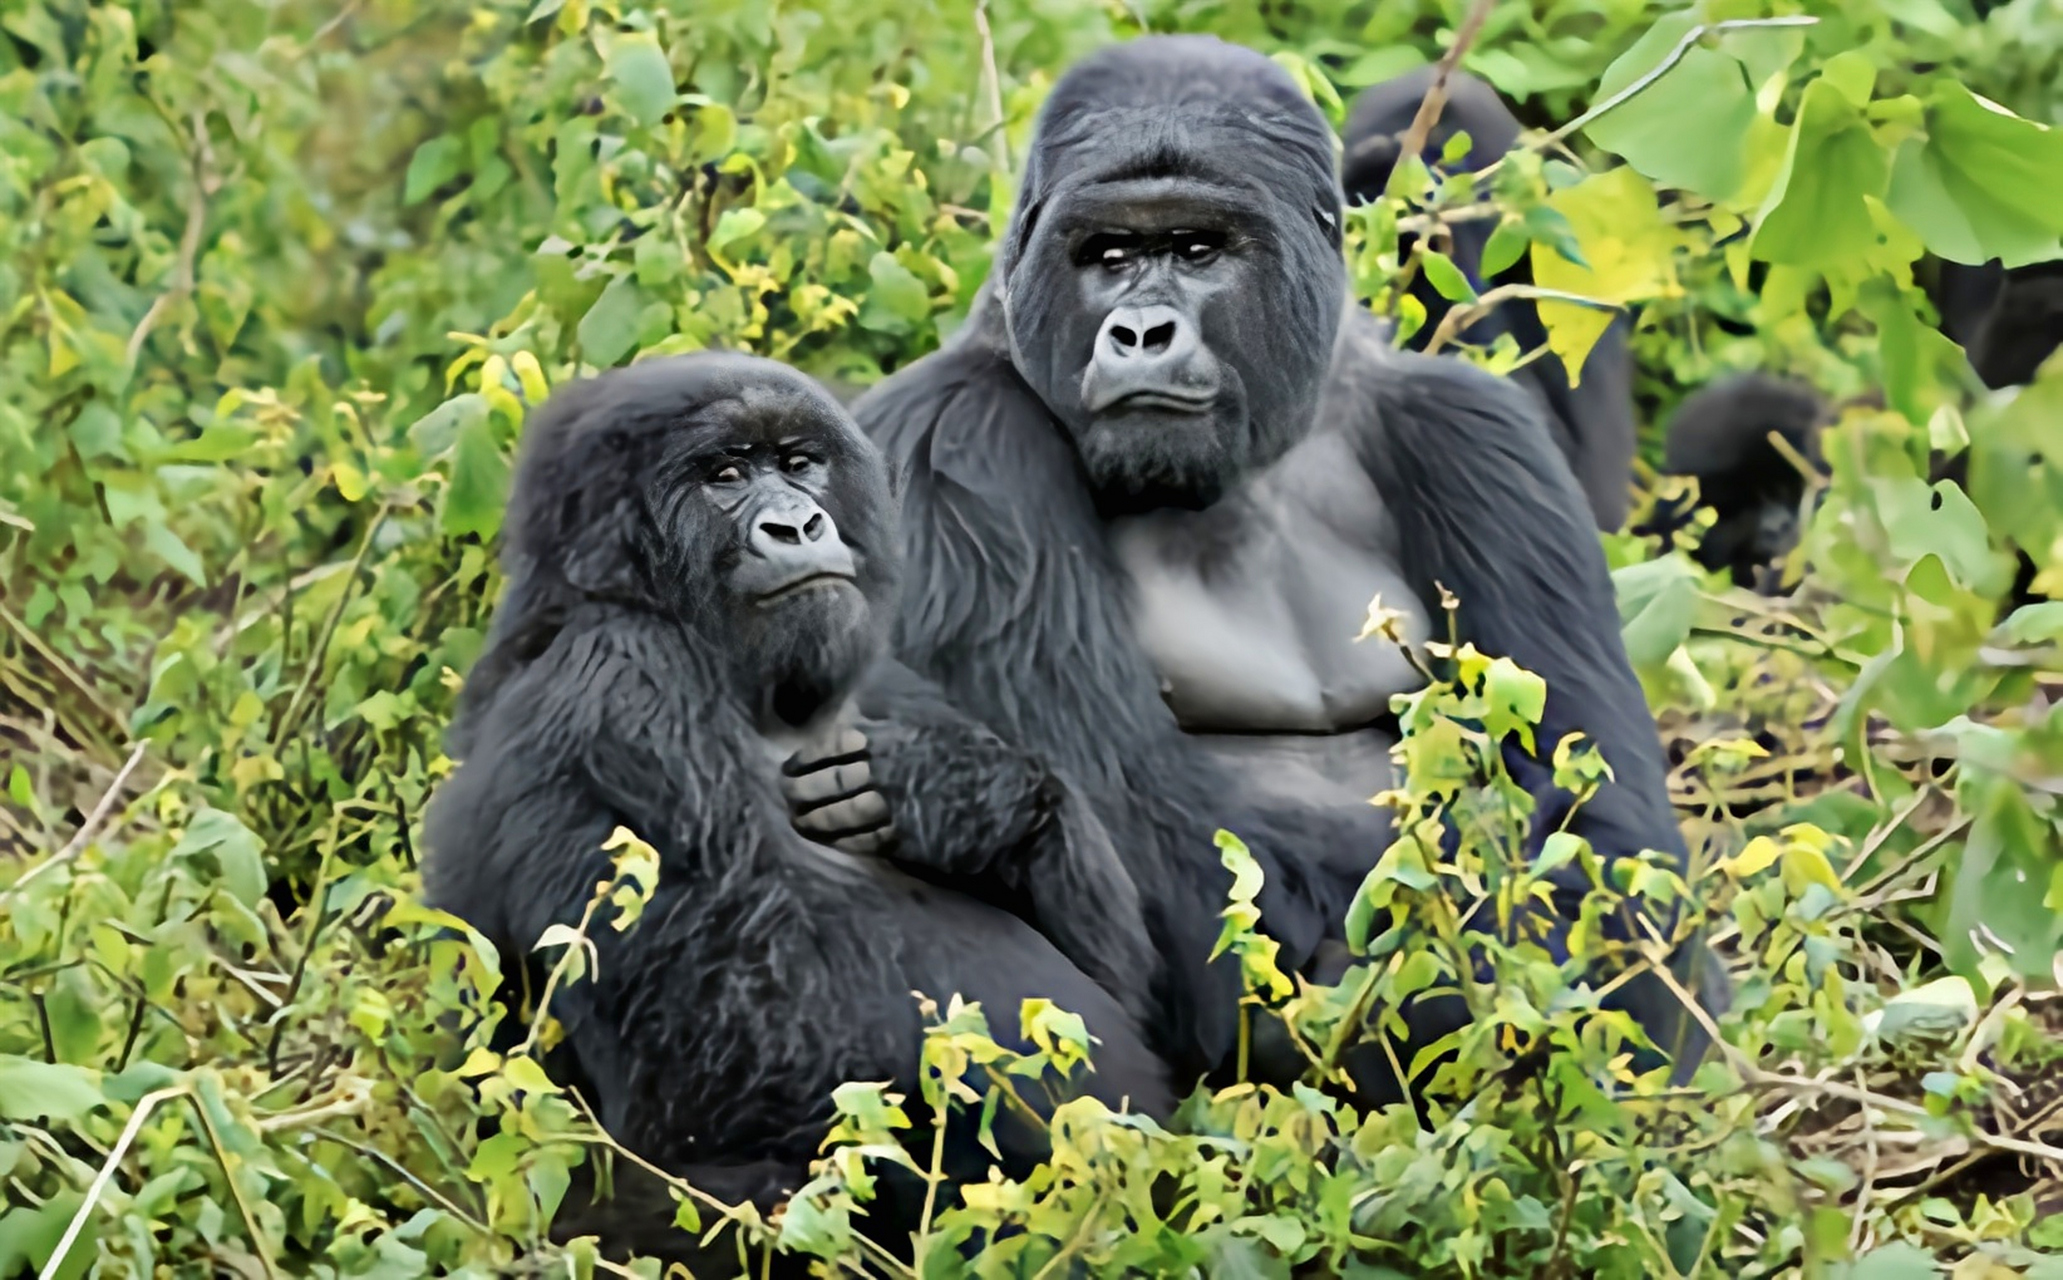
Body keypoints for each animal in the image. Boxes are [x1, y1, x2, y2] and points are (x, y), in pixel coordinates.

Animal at [424, 350, 1171, 1271]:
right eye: (724, 476)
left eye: (799, 464)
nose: (799, 526)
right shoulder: (616, 683)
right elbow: (729, 1035)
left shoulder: (890, 682)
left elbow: (1108, 982)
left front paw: (964, 794)